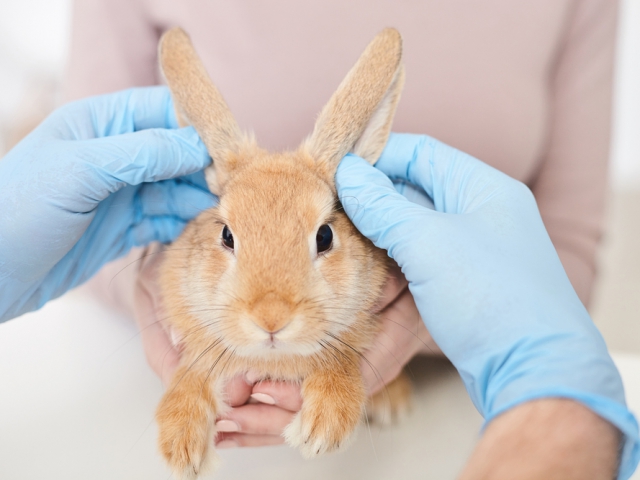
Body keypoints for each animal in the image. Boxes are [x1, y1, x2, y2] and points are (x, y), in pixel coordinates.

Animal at [155, 26, 412, 479]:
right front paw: (181, 446)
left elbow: (339, 357)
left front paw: (323, 429)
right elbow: (193, 371)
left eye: (325, 236)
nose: (271, 318)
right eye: (227, 235)